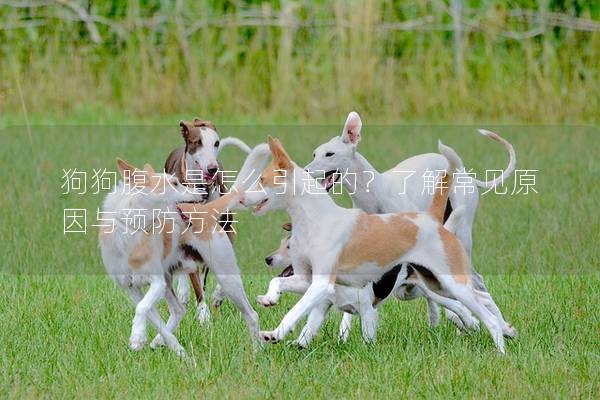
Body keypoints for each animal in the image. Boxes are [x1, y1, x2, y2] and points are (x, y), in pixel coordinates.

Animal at [163, 118, 252, 322]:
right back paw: (183, 293)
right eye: (198, 142)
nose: (213, 168)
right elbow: (197, 282)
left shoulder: (226, 231)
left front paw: (218, 296)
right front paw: (204, 315)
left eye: (216, 143)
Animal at [241, 137, 512, 354]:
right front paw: (269, 299)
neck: (316, 217)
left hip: (450, 281)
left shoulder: (321, 284)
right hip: (438, 283)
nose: (241, 198)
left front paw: (275, 333)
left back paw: (500, 349)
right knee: (481, 298)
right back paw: (507, 330)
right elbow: (279, 282)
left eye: (262, 179)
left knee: (485, 312)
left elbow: (296, 311)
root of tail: (432, 220)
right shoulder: (305, 279)